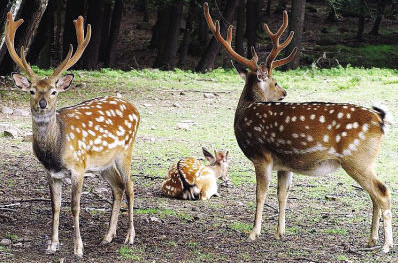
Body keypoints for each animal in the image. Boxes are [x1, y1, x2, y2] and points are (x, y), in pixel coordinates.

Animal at [4, 12, 140, 258]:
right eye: (32, 90)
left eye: (53, 91)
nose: (42, 104)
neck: (56, 150)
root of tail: (134, 108)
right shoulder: (51, 173)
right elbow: (55, 206)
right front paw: (52, 245)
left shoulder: (78, 167)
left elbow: (75, 206)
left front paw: (78, 248)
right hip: (103, 164)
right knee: (118, 187)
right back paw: (108, 236)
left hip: (126, 151)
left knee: (131, 186)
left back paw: (129, 237)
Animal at [204, 2, 394, 254]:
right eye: (276, 82)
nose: (284, 92)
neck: (246, 111)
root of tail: (380, 120)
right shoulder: (285, 164)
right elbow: (282, 194)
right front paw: (280, 233)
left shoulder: (261, 155)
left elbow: (260, 194)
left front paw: (253, 233)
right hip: (367, 160)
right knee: (374, 194)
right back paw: (371, 239)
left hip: (356, 158)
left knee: (382, 192)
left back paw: (386, 245)